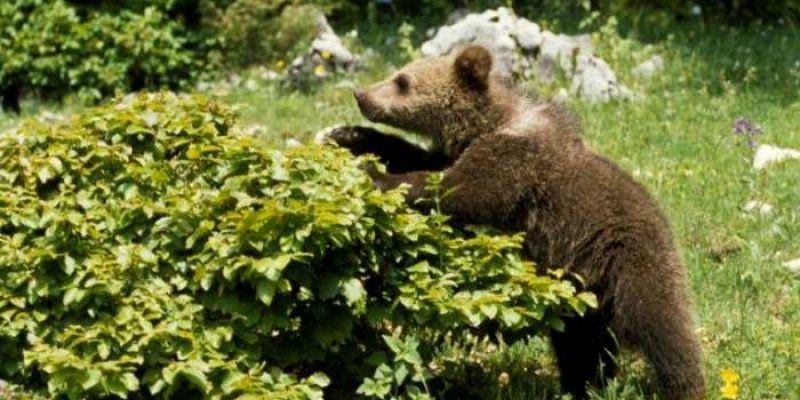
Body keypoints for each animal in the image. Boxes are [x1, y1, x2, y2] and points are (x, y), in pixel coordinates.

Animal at [328, 45, 704, 398]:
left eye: (403, 81)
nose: (361, 94)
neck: (490, 121)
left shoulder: (515, 161)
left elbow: (458, 189)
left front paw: (375, 175)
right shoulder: (461, 151)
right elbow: (424, 159)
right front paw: (350, 135)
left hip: (631, 259)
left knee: (663, 325)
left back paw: (683, 385)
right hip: (580, 292)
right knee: (581, 344)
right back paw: (583, 385)